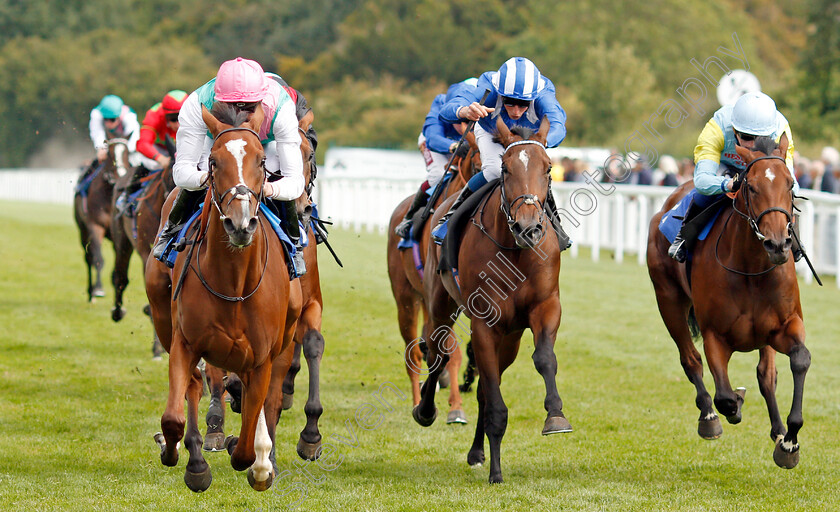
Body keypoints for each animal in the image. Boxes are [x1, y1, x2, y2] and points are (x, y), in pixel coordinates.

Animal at [74, 138, 130, 302]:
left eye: (127, 153)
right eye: (110, 153)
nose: (120, 175)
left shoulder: (118, 234)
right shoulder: (95, 226)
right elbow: (98, 259)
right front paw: (98, 289)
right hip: (83, 231)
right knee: (88, 258)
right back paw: (90, 292)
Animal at [144, 102, 302, 490]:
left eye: (262, 160)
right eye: (213, 162)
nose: (240, 224)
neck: (234, 286)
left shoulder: (261, 358)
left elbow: (245, 444)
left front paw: (256, 458)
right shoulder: (185, 343)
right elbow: (173, 416)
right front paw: (180, 455)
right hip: (163, 315)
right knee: (194, 386)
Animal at [414, 117, 572, 484]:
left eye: (548, 168)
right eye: (505, 168)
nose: (529, 228)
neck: (515, 251)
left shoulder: (545, 307)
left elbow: (544, 358)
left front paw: (555, 416)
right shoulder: (485, 322)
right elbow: (494, 401)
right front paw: (496, 474)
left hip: (510, 338)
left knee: (486, 386)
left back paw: (476, 452)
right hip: (441, 302)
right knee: (439, 352)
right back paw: (425, 409)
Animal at [648, 135, 812, 468]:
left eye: (790, 183)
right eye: (751, 186)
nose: (778, 244)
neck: (751, 269)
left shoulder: (785, 326)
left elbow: (799, 360)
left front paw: (789, 442)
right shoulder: (715, 334)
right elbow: (723, 394)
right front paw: (734, 404)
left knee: (767, 375)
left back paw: (777, 429)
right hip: (668, 300)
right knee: (690, 360)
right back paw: (709, 416)